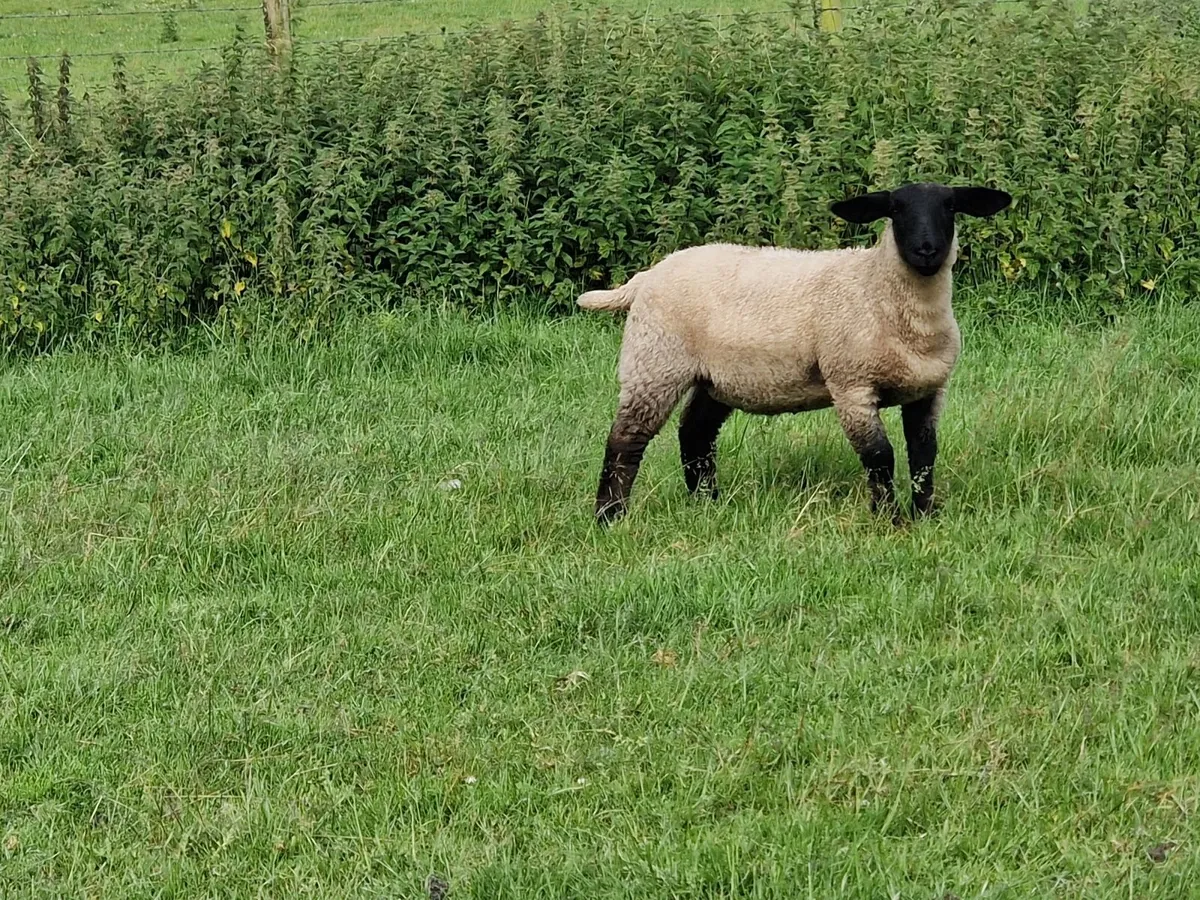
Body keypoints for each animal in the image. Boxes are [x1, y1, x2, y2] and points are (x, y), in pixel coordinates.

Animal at [576, 181, 1013, 525]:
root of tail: (646, 277)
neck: (876, 288)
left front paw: (925, 515)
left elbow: (924, 455)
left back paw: (706, 503)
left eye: (950, 206)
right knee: (625, 441)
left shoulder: (928, 389)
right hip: (655, 361)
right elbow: (880, 457)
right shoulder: (851, 384)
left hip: (715, 377)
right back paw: (610, 516)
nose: (926, 250)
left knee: (695, 433)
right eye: (895, 209)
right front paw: (889, 519)